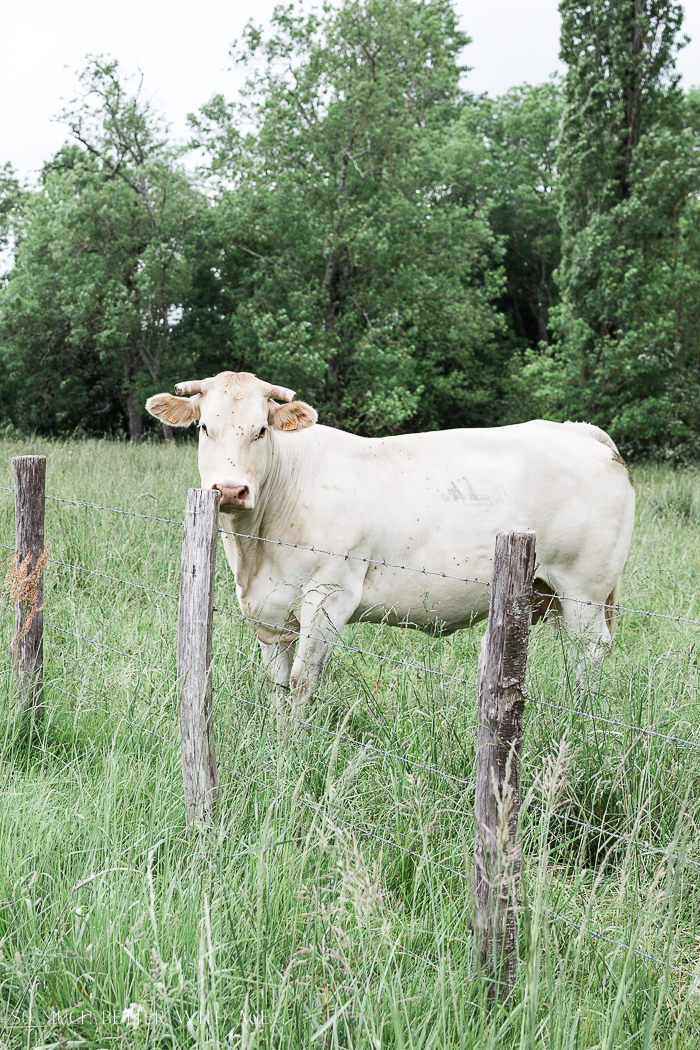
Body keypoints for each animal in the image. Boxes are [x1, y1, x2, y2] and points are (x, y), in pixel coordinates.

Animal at [146, 371, 635, 717]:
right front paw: (275, 742)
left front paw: (293, 754)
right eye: (204, 428)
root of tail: (579, 431)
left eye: (261, 430)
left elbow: (304, 681)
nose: (230, 490)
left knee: (591, 652)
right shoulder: (270, 608)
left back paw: (579, 720)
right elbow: (277, 684)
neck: (255, 549)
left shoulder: (329, 596)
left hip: (583, 590)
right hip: (547, 593)